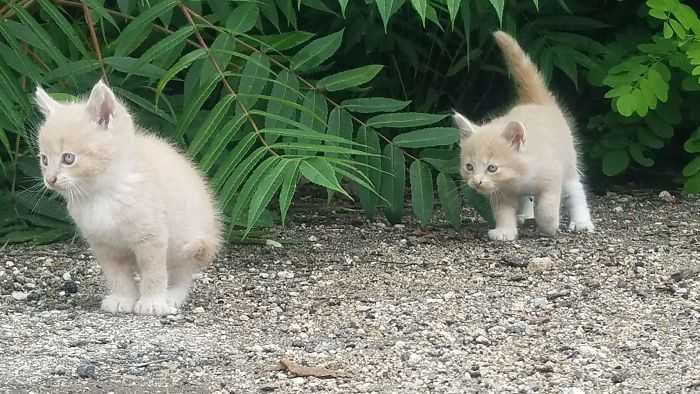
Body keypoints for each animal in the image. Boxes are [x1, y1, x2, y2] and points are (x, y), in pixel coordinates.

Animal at [35, 80, 221, 314]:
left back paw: (171, 297)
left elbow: (153, 273)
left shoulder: (152, 237)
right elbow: (117, 276)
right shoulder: (103, 244)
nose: (50, 179)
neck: (101, 195)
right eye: (44, 159)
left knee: (182, 274)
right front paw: (122, 298)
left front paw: (152, 303)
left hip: (188, 244)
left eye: (68, 158)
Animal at [454, 31, 596, 240]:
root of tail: (537, 102)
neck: (517, 177)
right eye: (469, 167)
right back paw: (525, 214)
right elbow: (503, 212)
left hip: (569, 162)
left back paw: (581, 222)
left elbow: (547, 206)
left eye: (492, 168)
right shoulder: (500, 192)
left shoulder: (552, 175)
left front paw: (549, 226)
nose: (476, 182)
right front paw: (505, 231)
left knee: (575, 189)